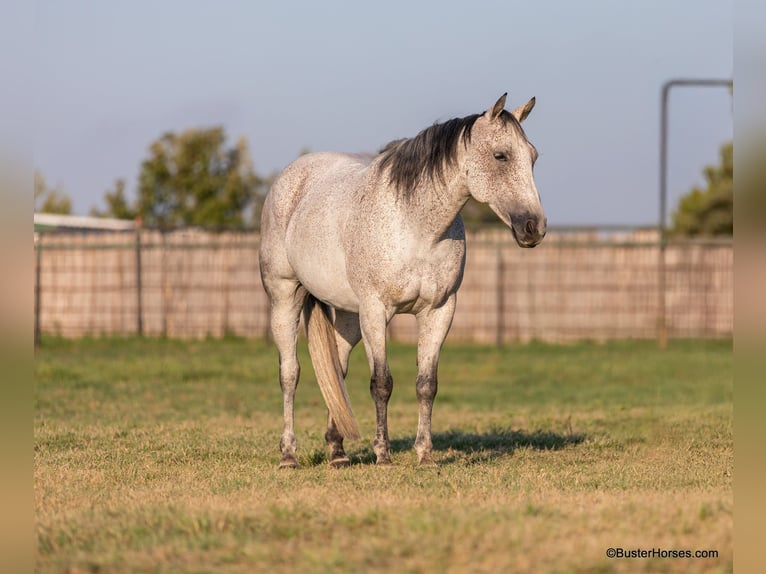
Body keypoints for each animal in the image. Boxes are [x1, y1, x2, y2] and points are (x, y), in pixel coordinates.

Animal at [259, 93, 546, 468]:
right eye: (501, 156)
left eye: (533, 157)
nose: (534, 227)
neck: (415, 225)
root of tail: (290, 178)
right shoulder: (377, 311)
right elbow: (381, 383)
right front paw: (383, 454)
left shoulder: (439, 310)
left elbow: (427, 384)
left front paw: (425, 455)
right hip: (285, 298)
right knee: (289, 374)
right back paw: (288, 455)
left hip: (349, 315)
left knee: (337, 370)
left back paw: (337, 452)